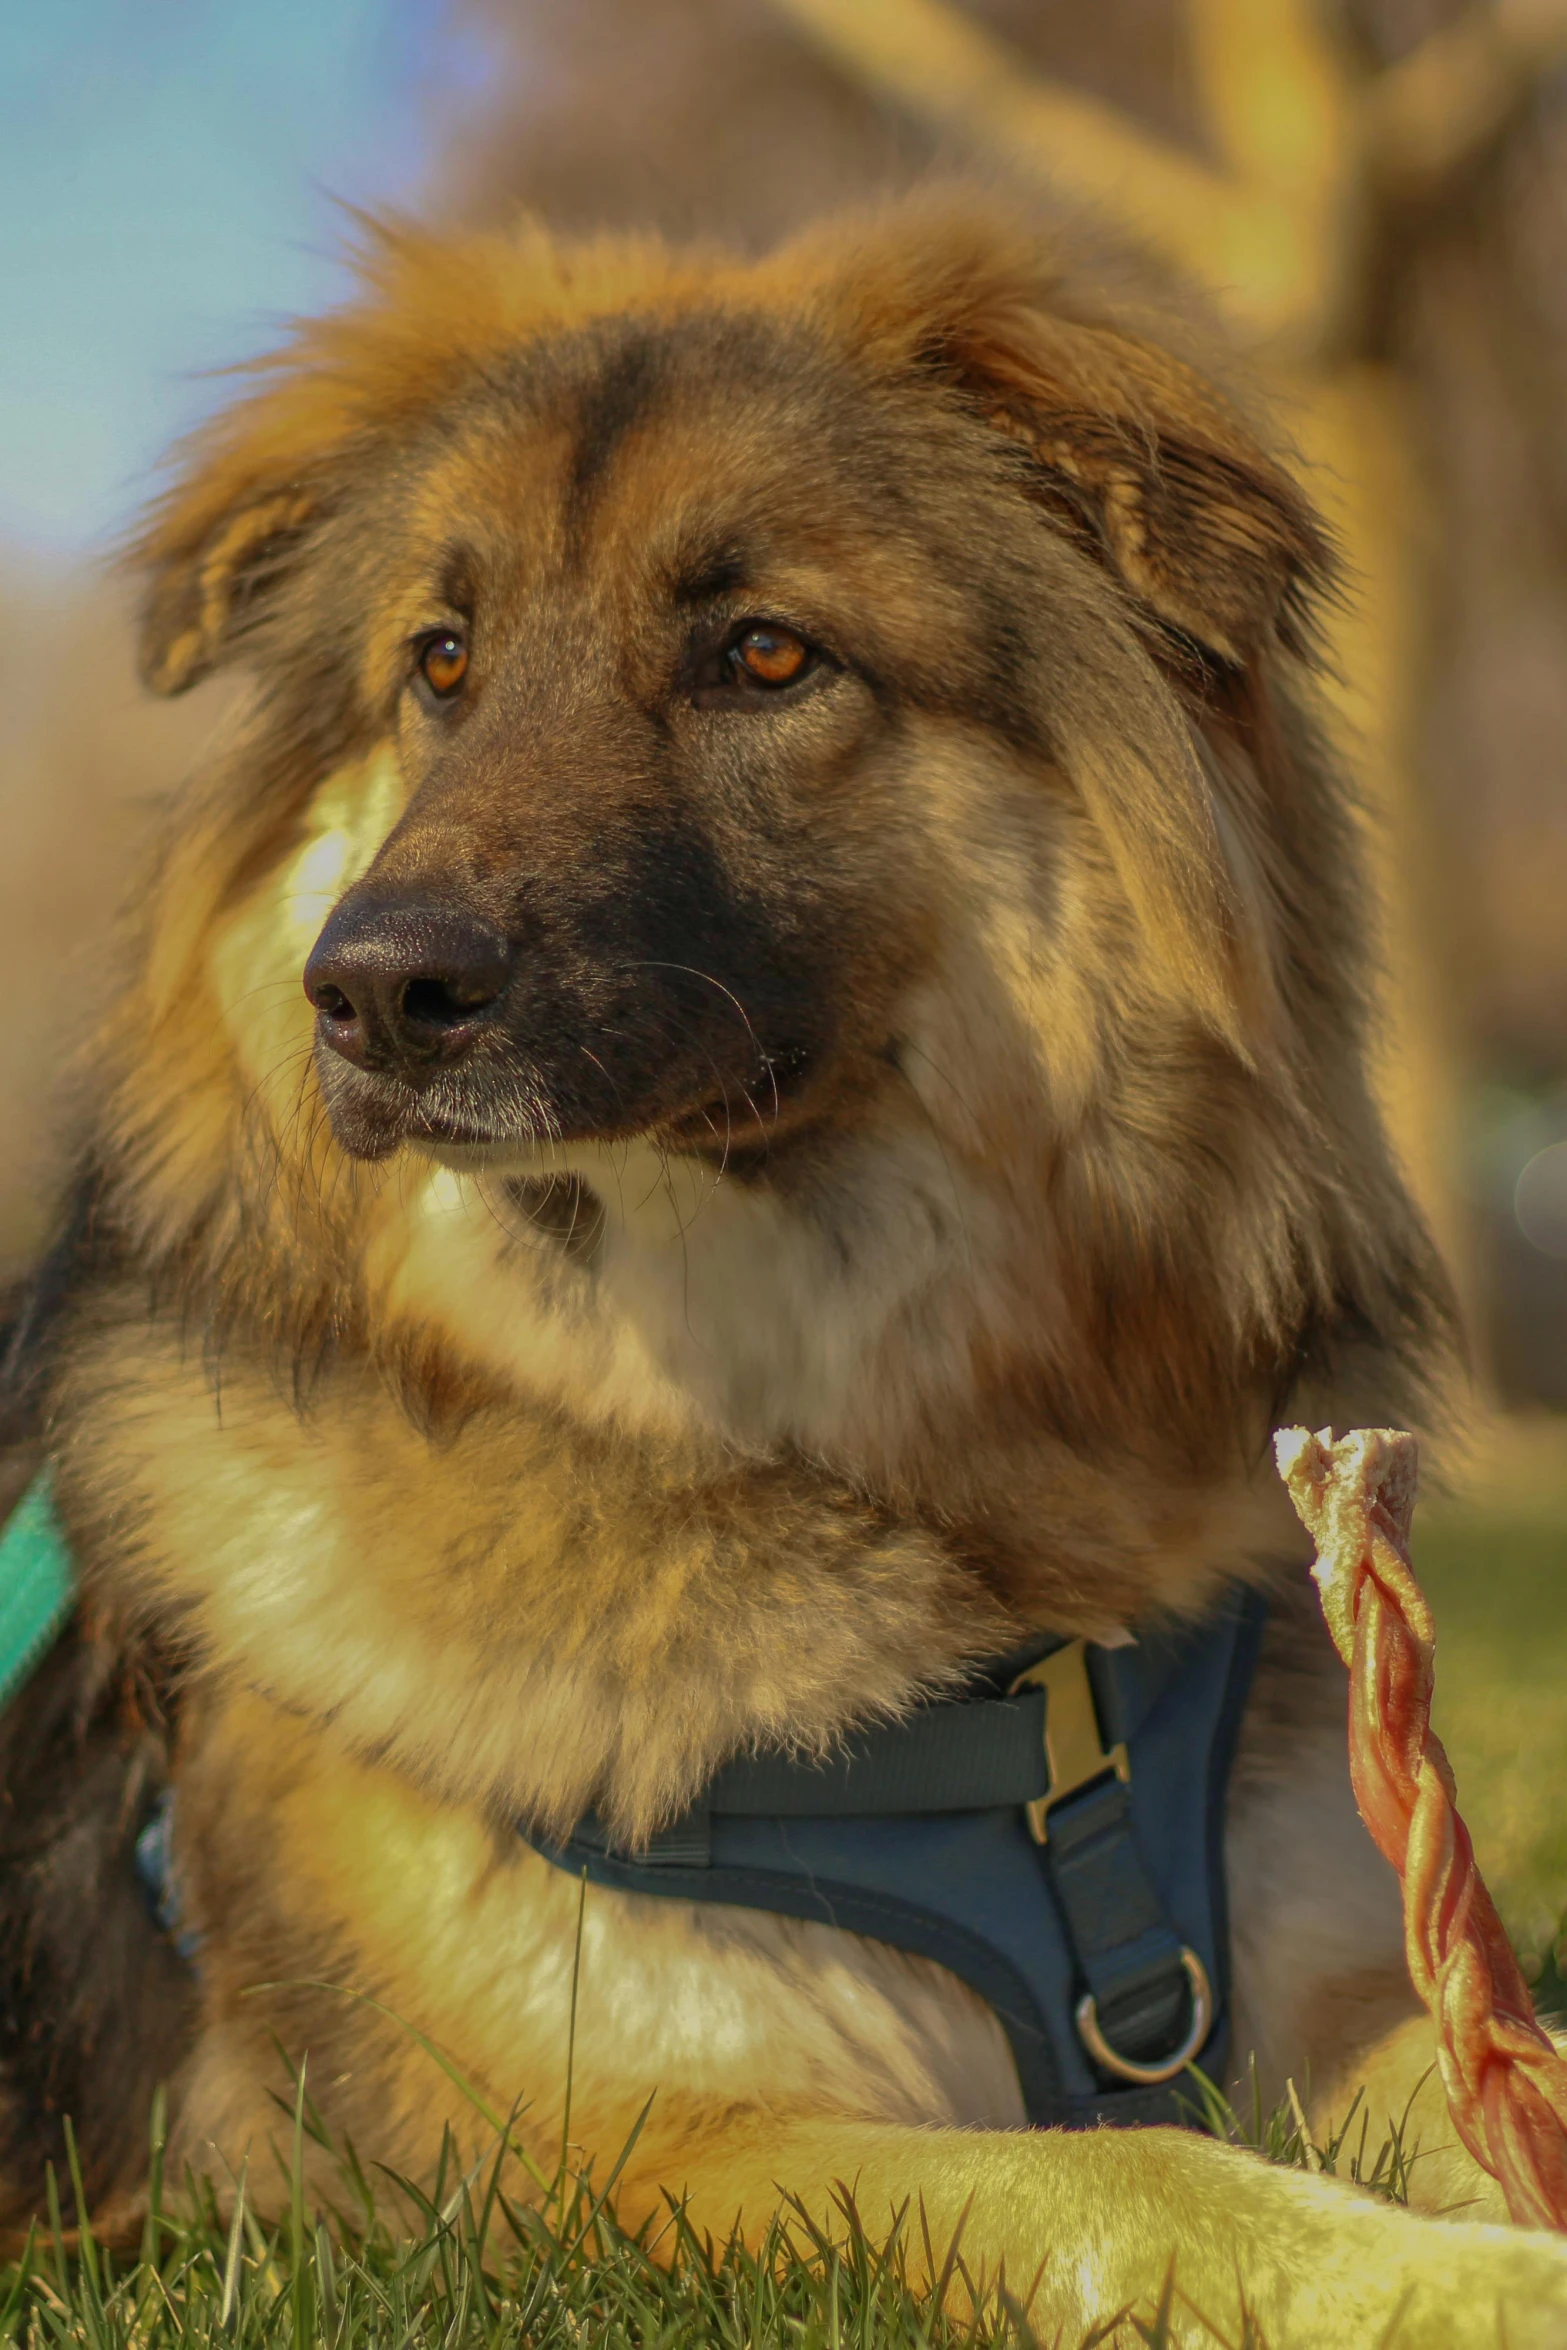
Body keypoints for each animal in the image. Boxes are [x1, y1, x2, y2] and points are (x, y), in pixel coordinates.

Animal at [3, 192, 1567, 2340]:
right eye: (440, 663)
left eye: (763, 655)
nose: (372, 993)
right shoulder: (636, 2161)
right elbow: (1154, 2182)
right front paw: (1474, 2279)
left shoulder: (1317, 1980)